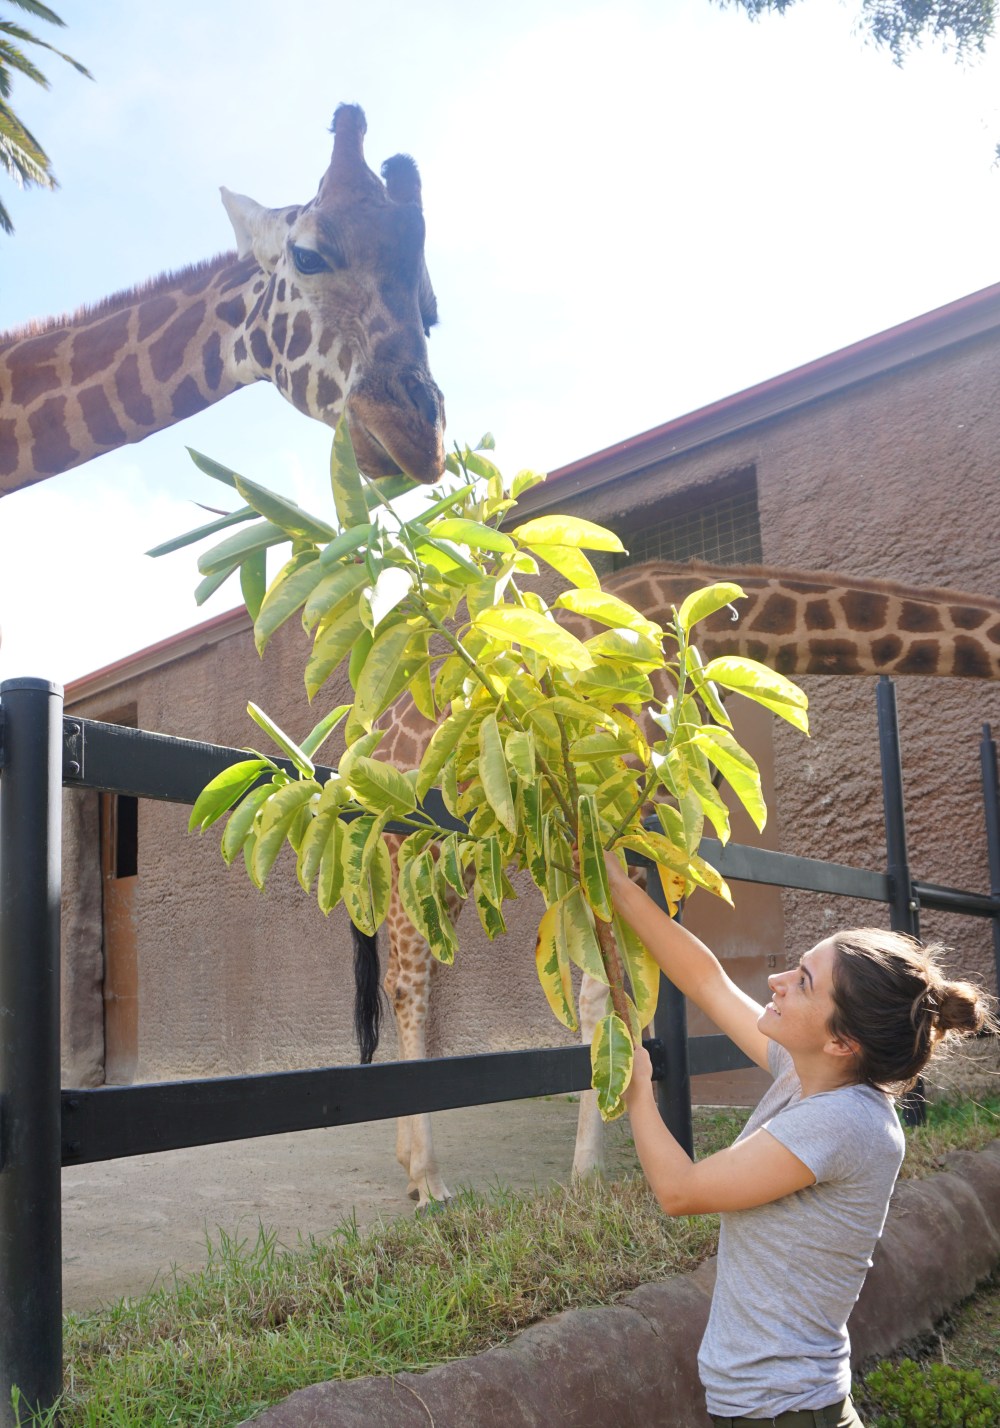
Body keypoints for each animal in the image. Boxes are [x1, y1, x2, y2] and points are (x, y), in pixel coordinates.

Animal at [358, 559, 1000, 1207]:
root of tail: (369, 741)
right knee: (408, 983)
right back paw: (429, 1178)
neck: (717, 633)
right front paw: (592, 1168)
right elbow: (602, 997)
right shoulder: (622, 829)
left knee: (406, 977)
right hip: (415, 846)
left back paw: (406, 1161)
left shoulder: (659, 842)